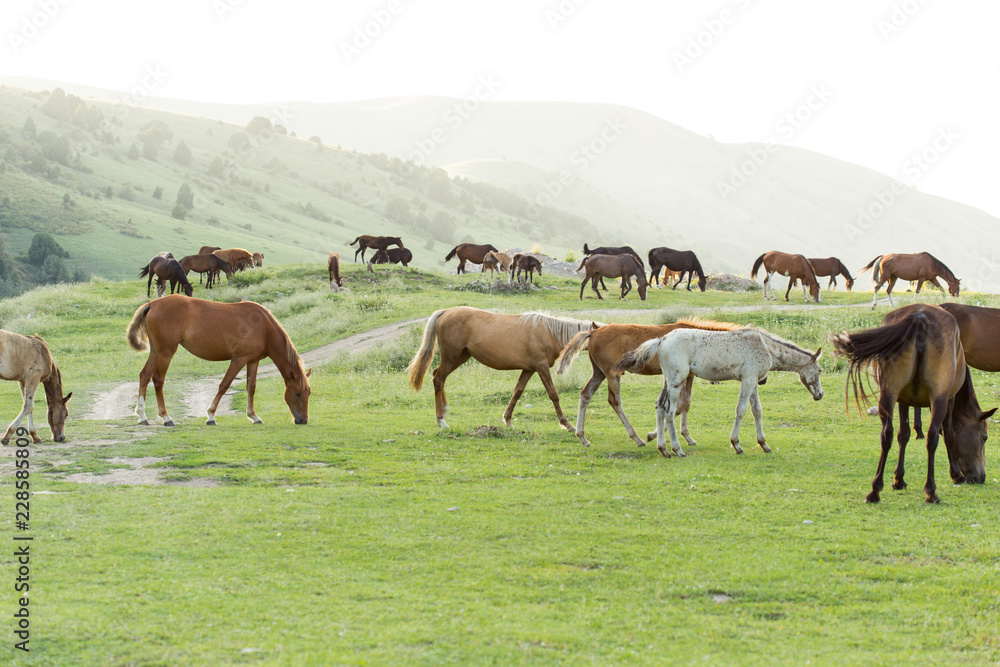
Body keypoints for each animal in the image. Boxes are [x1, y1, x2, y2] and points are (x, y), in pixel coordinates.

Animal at [126, 295, 311, 426]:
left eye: (308, 393)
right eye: (297, 393)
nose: (303, 420)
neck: (264, 328)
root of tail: (152, 304)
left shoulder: (253, 361)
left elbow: (251, 387)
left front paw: (253, 416)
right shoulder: (238, 359)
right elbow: (224, 385)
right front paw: (210, 416)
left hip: (156, 351)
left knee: (145, 375)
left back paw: (142, 416)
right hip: (166, 352)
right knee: (158, 379)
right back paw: (166, 418)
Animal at [407, 307, 599, 430]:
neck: (550, 332)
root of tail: (445, 312)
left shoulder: (529, 369)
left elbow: (517, 392)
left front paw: (507, 420)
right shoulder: (541, 367)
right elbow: (553, 394)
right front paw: (567, 424)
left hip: (461, 356)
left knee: (438, 376)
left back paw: (444, 411)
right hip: (451, 356)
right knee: (439, 379)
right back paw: (441, 421)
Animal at [555, 318, 741, 448]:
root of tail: (594, 332)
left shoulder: (687, 376)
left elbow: (685, 404)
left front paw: (686, 436)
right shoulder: (683, 376)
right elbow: (680, 405)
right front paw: (656, 435)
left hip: (599, 373)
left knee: (585, 395)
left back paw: (582, 437)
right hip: (612, 374)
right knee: (614, 401)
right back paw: (637, 438)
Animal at [615, 328, 823, 458]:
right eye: (820, 370)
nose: (820, 395)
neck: (765, 347)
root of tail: (662, 339)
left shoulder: (753, 382)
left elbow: (757, 411)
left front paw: (764, 444)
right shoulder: (748, 380)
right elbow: (741, 410)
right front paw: (736, 445)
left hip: (669, 381)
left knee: (659, 406)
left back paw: (663, 449)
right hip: (677, 381)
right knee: (669, 411)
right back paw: (677, 450)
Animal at [831, 303, 994, 503]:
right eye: (984, 437)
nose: (981, 477)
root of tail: (919, 317)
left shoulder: (903, 399)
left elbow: (903, 434)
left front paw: (898, 479)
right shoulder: (949, 398)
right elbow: (948, 434)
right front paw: (956, 475)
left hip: (889, 394)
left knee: (887, 434)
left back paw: (875, 490)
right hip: (939, 398)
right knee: (933, 437)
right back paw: (931, 491)